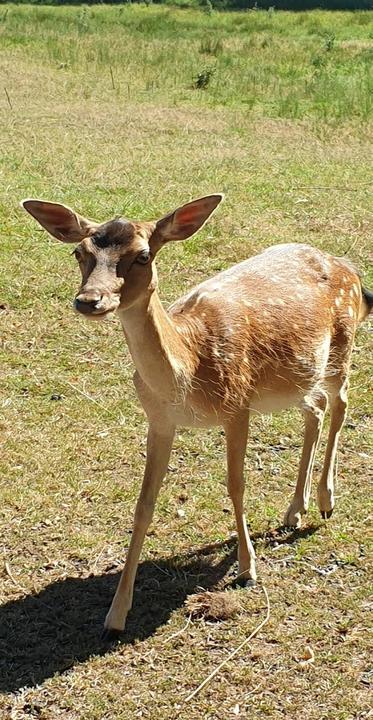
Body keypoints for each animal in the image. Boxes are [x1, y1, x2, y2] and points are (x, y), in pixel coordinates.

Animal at [21, 193, 370, 636]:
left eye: (143, 255)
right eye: (79, 253)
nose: (89, 300)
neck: (189, 367)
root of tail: (350, 269)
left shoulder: (237, 403)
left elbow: (236, 485)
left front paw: (247, 568)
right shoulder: (159, 420)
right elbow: (144, 503)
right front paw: (116, 613)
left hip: (341, 349)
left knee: (341, 404)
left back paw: (325, 501)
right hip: (295, 378)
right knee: (316, 410)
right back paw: (295, 509)